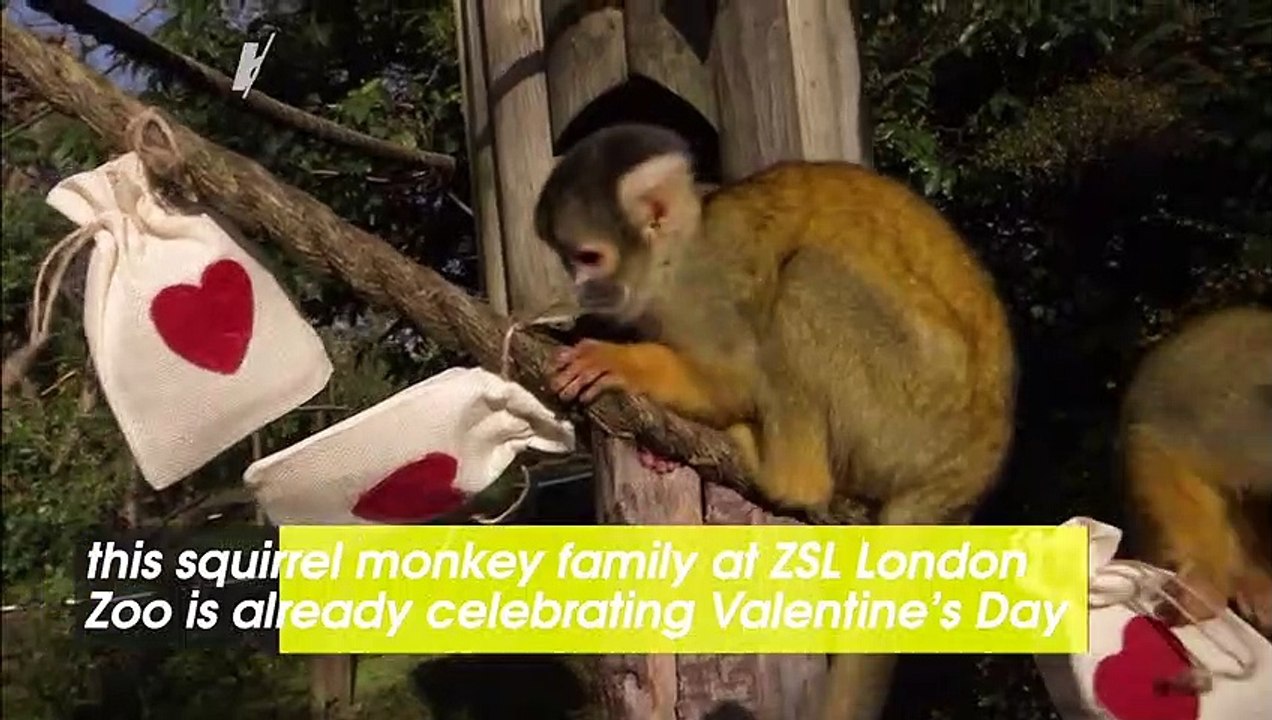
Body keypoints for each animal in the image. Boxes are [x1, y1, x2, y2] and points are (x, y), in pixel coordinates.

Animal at [533, 123, 1017, 720]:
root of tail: (966, 476)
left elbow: (739, 376)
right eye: (567, 260)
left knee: (807, 280)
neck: (677, 257)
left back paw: (785, 475)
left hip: (915, 408)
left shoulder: (707, 289)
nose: (580, 290)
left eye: (588, 256)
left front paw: (624, 364)